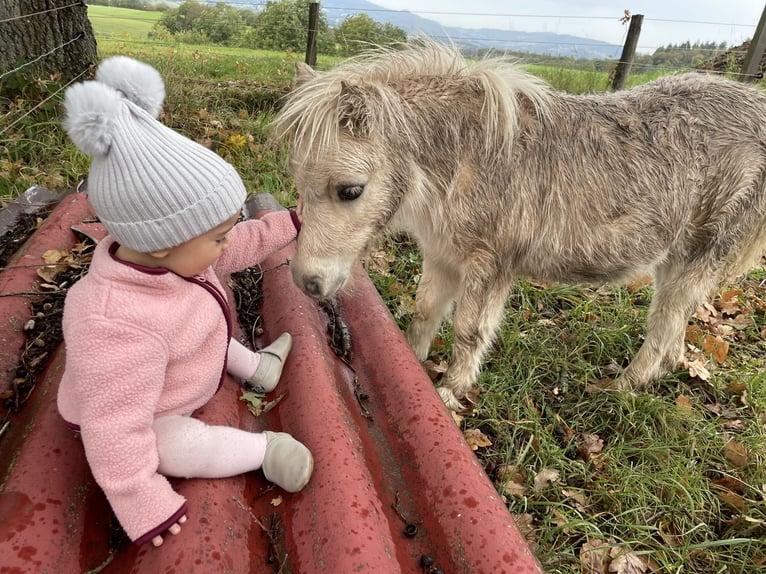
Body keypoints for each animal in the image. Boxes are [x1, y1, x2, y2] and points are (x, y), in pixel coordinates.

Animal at [272, 39, 766, 410]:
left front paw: (450, 395)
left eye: (350, 191)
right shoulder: (443, 257)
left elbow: (469, 332)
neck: (461, 159)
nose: (307, 282)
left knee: (665, 328)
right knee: (676, 329)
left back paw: (621, 389)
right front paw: (411, 368)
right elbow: (425, 313)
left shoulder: (489, 265)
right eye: (299, 183)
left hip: (697, 257)